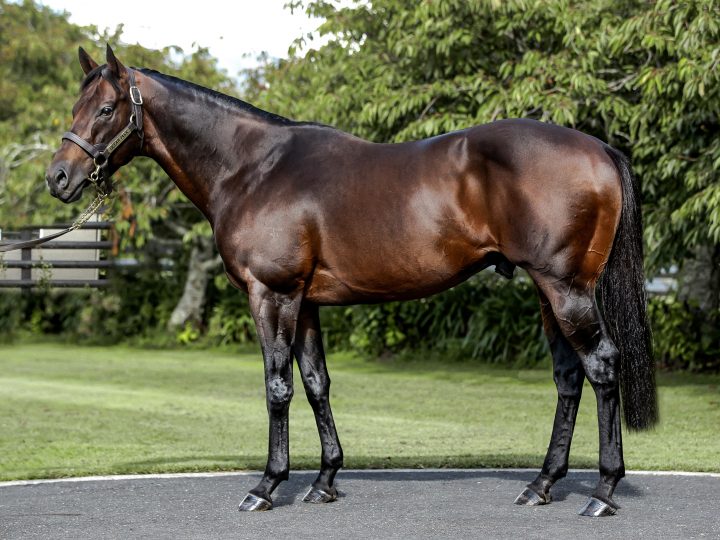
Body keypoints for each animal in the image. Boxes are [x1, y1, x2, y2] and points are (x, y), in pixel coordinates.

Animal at [43, 47, 652, 520]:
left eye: (105, 108)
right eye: (75, 106)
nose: (58, 178)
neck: (252, 168)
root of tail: (599, 149)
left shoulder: (273, 294)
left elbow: (278, 386)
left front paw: (267, 486)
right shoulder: (306, 302)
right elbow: (316, 383)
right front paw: (324, 481)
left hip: (566, 289)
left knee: (602, 366)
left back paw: (602, 492)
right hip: (550, 292)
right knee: (569, 377)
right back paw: (541, 484)